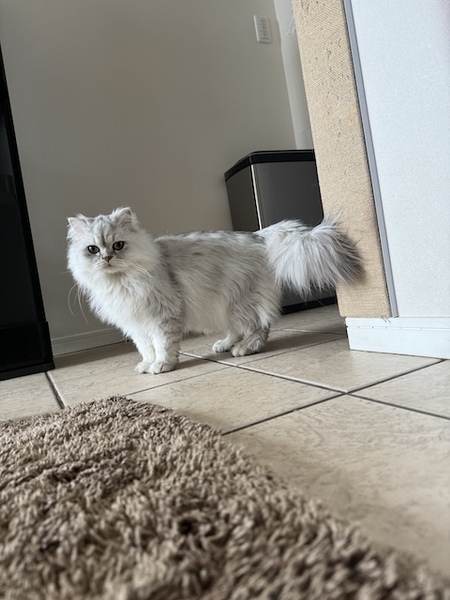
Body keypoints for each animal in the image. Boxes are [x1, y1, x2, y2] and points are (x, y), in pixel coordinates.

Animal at [67, 207, 361, 374]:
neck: (121, 282)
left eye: (118, 246)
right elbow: (146, 349)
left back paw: (243, 349)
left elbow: (162, 346)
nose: (107, 258)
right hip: (224, 304)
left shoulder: (162, 317)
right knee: (237, 328)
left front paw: (162, 366)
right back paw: (224, 345)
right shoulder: (136, 324)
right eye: (92, 249)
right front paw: (146, 365)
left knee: (259, 327)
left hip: (239, 300)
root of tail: (258, 235)